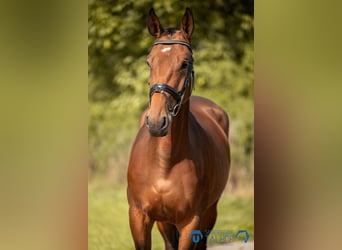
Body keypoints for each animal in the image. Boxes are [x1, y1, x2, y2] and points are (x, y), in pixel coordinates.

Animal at [126, 8, 230, 250]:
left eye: (184, 63)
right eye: (149, 62)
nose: (157, 122)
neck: (165, 162)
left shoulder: (191, 222)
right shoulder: (138, 217)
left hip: (209, 213)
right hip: (164, 222)